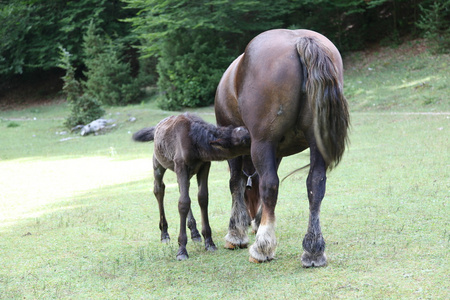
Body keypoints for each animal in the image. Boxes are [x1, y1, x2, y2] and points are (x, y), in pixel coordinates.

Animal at [134, 112, 253, 260]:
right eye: (245, 141)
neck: (195, 142)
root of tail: (156, 127)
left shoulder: (204, 166)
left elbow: (202, 198)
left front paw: (209, 242)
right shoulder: (181, 166)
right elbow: (183, 203)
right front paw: (182, 250)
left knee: (182, 190)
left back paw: (195, 233)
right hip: (158, 163)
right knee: (159, 189)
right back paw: (164, 234)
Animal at [214, 29, 348, 266]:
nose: (250, 221)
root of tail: (299, 40)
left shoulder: (238, 148)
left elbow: (237, 183)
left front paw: (236, 233)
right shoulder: (276, 152)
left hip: (262, 142)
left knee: (270, 185)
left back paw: (262, 247)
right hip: (316, 142)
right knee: (315, 185)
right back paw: (313, 249)